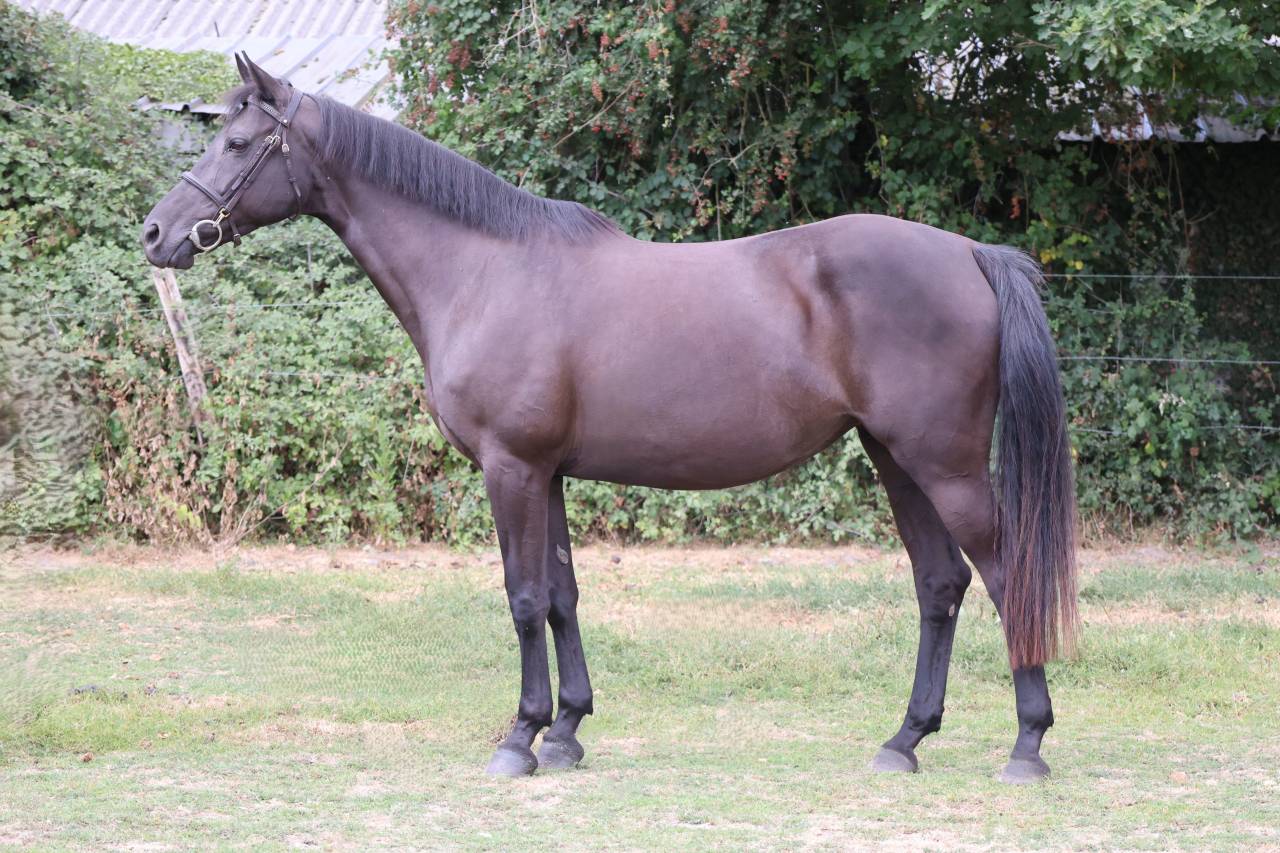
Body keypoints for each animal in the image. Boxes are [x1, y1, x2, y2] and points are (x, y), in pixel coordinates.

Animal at [142, 55, 1078, 783]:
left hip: (944, 464)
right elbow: (562, 595)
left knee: (1006, 577)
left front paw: (519, 737)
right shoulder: (547, 471)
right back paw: (905, 739)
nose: (156, 233)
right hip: (895, 457)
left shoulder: (511, 467)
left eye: (236, 142)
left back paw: (1027, 745)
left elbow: (522, 597)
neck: (484, 272)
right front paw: (566, 731)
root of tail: (971, 252)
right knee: (940, 585)